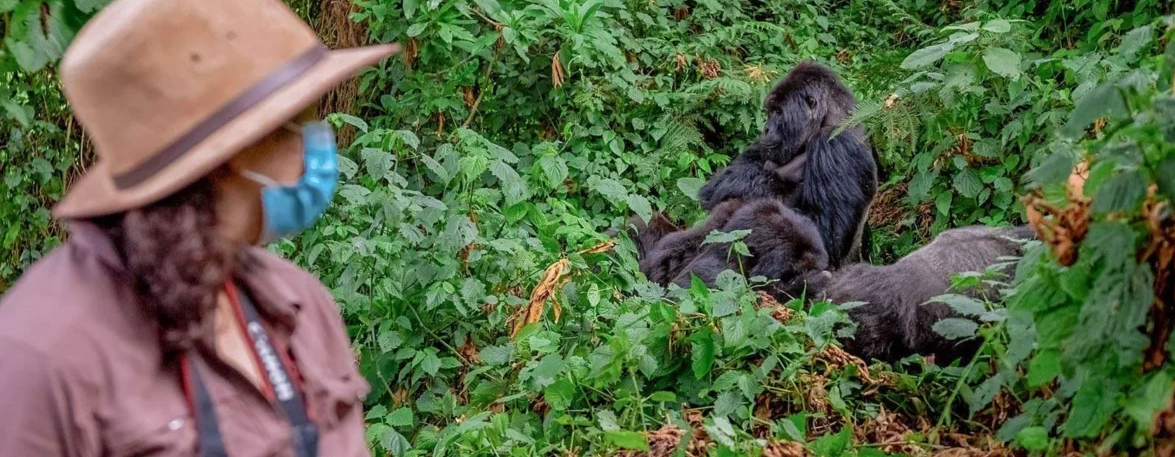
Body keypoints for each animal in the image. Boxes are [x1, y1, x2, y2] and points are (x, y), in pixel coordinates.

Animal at [696, 61, 878, 268]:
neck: (831, 118)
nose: (765, 129)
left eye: (778, 112)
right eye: (769, 112)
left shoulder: (834, 143)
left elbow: (825, 236)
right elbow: (724, 181)